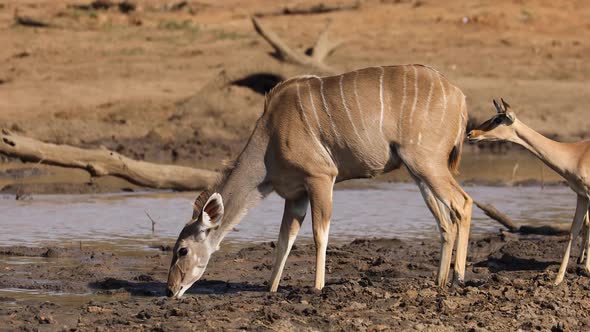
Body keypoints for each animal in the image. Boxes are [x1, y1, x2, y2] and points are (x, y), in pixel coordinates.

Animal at [164, 65, 474, 298]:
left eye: (182, 250)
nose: (170, 290)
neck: (270, 139)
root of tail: (460, 97)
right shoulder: (295, 195)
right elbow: (285, 239)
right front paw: (271, 289)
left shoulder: (322, 177)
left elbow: (319, 234)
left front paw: (317, 286)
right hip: (418, 171)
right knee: (445, 219)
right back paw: (439, 281)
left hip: (426, 162)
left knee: (463, 203)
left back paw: (458, 278)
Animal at [472, 99, 590, 286]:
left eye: (498, 119)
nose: (471, 133)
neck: (576, 155)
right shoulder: (582, 195)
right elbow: (573, 232)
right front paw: (557, 279)